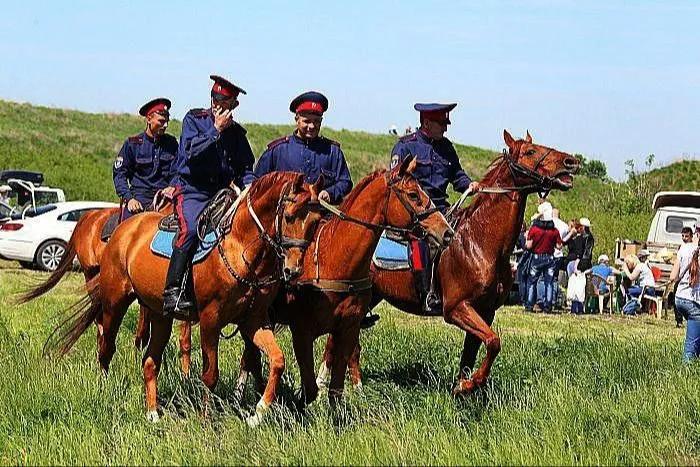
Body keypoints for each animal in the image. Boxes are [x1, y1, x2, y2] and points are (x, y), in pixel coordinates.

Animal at [45, 174, 324, 426]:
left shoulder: (253, 320)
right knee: (106, 347)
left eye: (316, 221)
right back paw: (104, 389)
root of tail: (124, 228)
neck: (239, 246)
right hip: (115, 303)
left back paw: (153, 413)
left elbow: (277, 361)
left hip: (160, 315)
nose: (293, 270)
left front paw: (258, 412)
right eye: (289, 216)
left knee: (150, 361)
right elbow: (210, 374)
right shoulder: (211, 319)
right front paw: (205, 420)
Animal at [235, 155, 454, 408]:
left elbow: (336, 390)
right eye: (413, 195)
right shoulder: (302, 333)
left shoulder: (347, 331)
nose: (447, 232)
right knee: (249, 356)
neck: (336, 260)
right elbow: (310, 389)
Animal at [318, 131, 580, 394]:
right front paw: (469, 384)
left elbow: (474, 352)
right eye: (530, 152)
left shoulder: (485, 312)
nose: (571, 162)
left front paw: (463, 387)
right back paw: (326, 383)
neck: (481, 242)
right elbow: (493, 341)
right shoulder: (457, 308)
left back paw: (356, 386)